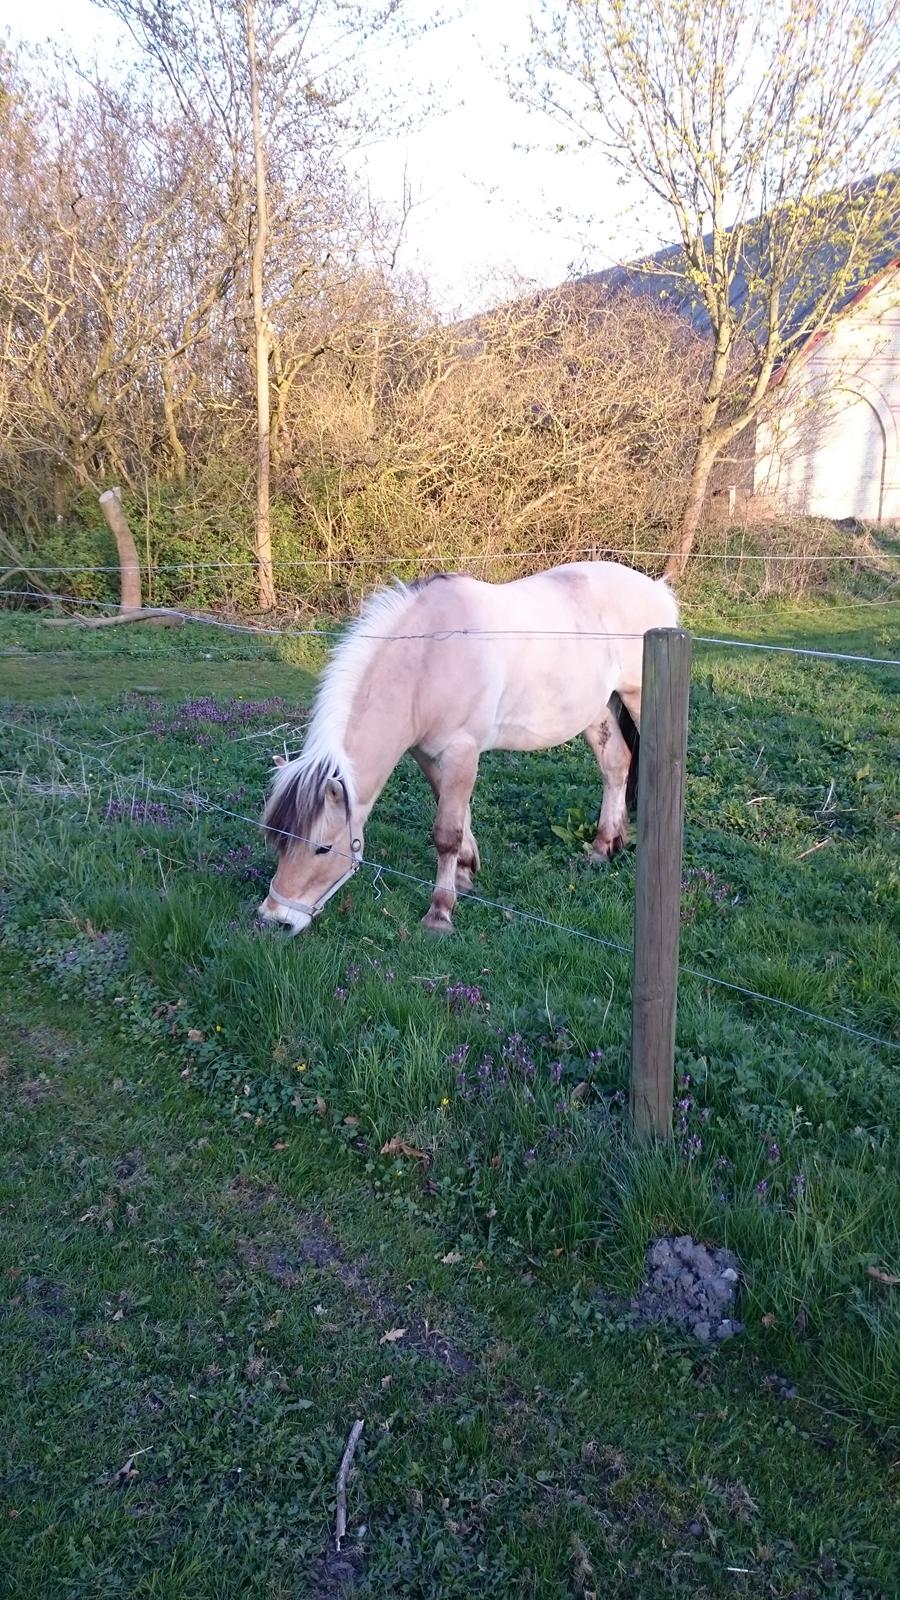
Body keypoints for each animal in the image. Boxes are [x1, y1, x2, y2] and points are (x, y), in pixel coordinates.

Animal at [256, 563, 675, 934]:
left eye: (323, 848)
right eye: (277, 841)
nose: (275, 919)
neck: (428, 658)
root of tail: (657, 589)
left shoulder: (461, 750)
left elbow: (446, 833)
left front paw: (440, 912)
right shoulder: (428, 754)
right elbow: (455, 811)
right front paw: (466, 871)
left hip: (638, 700)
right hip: (594, 711)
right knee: (615, 764)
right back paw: (604, 847)